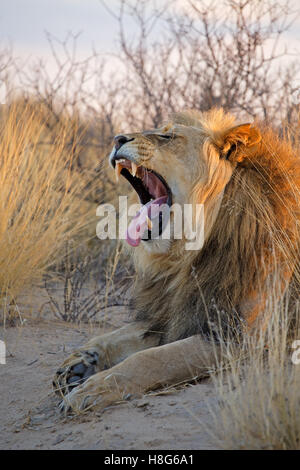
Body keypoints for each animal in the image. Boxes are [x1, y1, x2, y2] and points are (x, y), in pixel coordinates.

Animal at [54, 108, 300, 414]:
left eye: (167, 137)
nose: (117, 138)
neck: (189, 255)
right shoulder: (173, 311)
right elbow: (118, 334)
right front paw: (81, 361)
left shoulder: (241, 337)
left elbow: (151, 359)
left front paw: (94, 388)